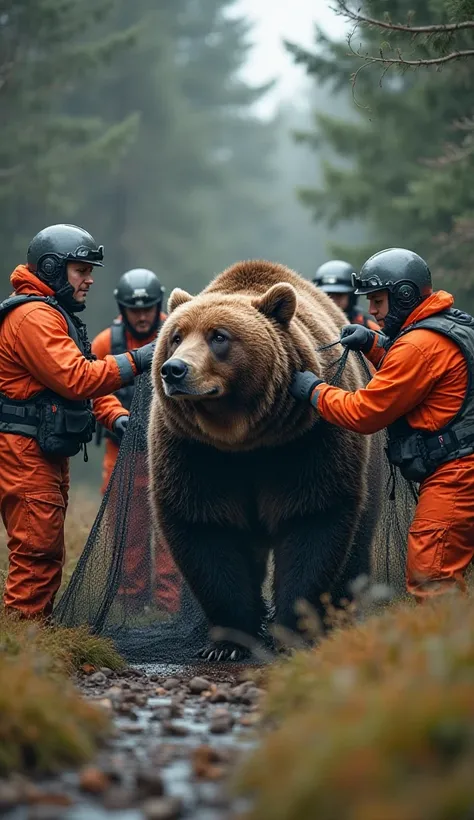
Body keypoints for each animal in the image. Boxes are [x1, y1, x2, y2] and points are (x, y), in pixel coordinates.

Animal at [148, 260, 386, 664]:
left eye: (219, 336)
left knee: (357, 539)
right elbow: (205, 526)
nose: (174, 370)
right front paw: (229, 641)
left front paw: (292, 629)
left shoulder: (305, 441)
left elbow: (313, 517)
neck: (243, 437)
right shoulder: (193, 449)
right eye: (176, 336)